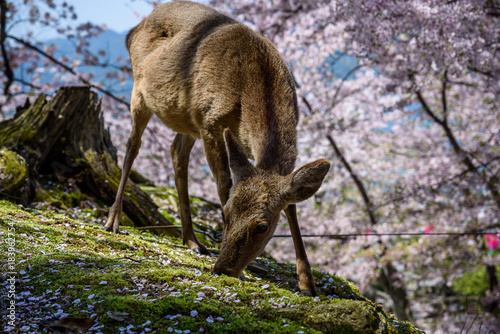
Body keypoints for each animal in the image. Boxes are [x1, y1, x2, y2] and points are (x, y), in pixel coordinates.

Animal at [103, 0, 330, 298]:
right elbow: (224, 184)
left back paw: (192, 240)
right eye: (225, 214)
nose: (222, 269)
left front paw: (307, 283)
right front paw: (246, 270)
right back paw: (113, 221)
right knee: (133, 144)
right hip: (141, 92)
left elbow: (291, 205)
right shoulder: (211, 124)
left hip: (188, 118)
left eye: (262, 226)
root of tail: (132, 31)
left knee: (176, 151)